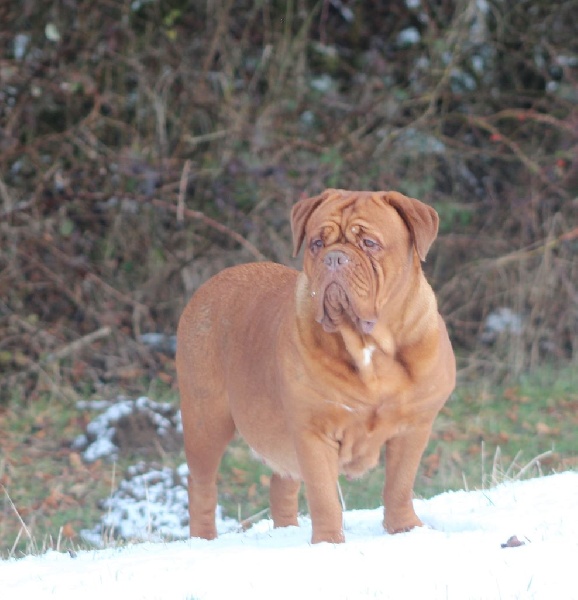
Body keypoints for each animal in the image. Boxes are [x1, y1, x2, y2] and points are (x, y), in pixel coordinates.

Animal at [176, 189, 454, 544]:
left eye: (369, 243)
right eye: (316, 243)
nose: (334, 258)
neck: (368, 345)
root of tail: (210, 284)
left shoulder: (413, 427)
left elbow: (399, 485)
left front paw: (405, 528)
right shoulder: (313, 430)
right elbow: (324, 496)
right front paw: (328, 543)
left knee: (281, 483)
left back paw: (285, 532)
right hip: (206, 420)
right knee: (202, 486)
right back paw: (203, 540)